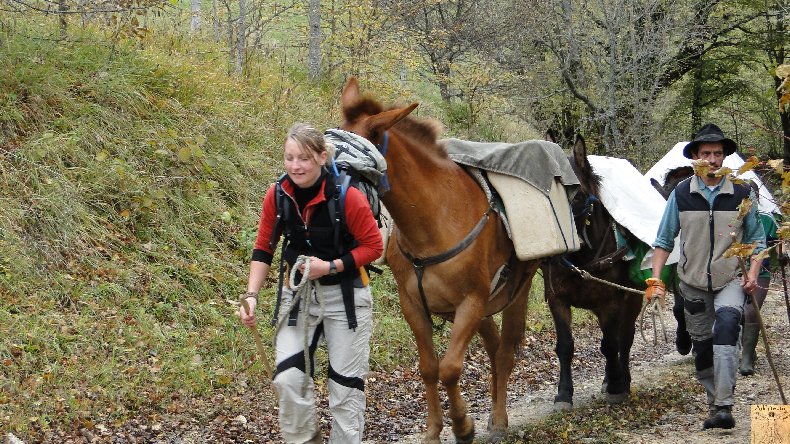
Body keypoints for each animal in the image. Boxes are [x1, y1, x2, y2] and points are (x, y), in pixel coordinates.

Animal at [340, 78, 544, 442]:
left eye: (348, 163)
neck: (434, 220)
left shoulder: (471, 302)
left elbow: (450, 368)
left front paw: (462, 424)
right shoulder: (414, 306)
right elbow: (429, 368)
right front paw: (434, 430)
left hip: (514, 292)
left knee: (504, 352)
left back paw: (499, 418)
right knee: (494, 348)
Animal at [540, 135, 648, 410]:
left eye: (578, 195)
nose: (563, 244)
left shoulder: (611, 301)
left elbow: (611, 345)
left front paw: (617, 386)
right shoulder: (558, 300)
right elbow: (565, 346)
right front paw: (563, 394)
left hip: (630, 299)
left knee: (624, 338)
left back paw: (621, 379)